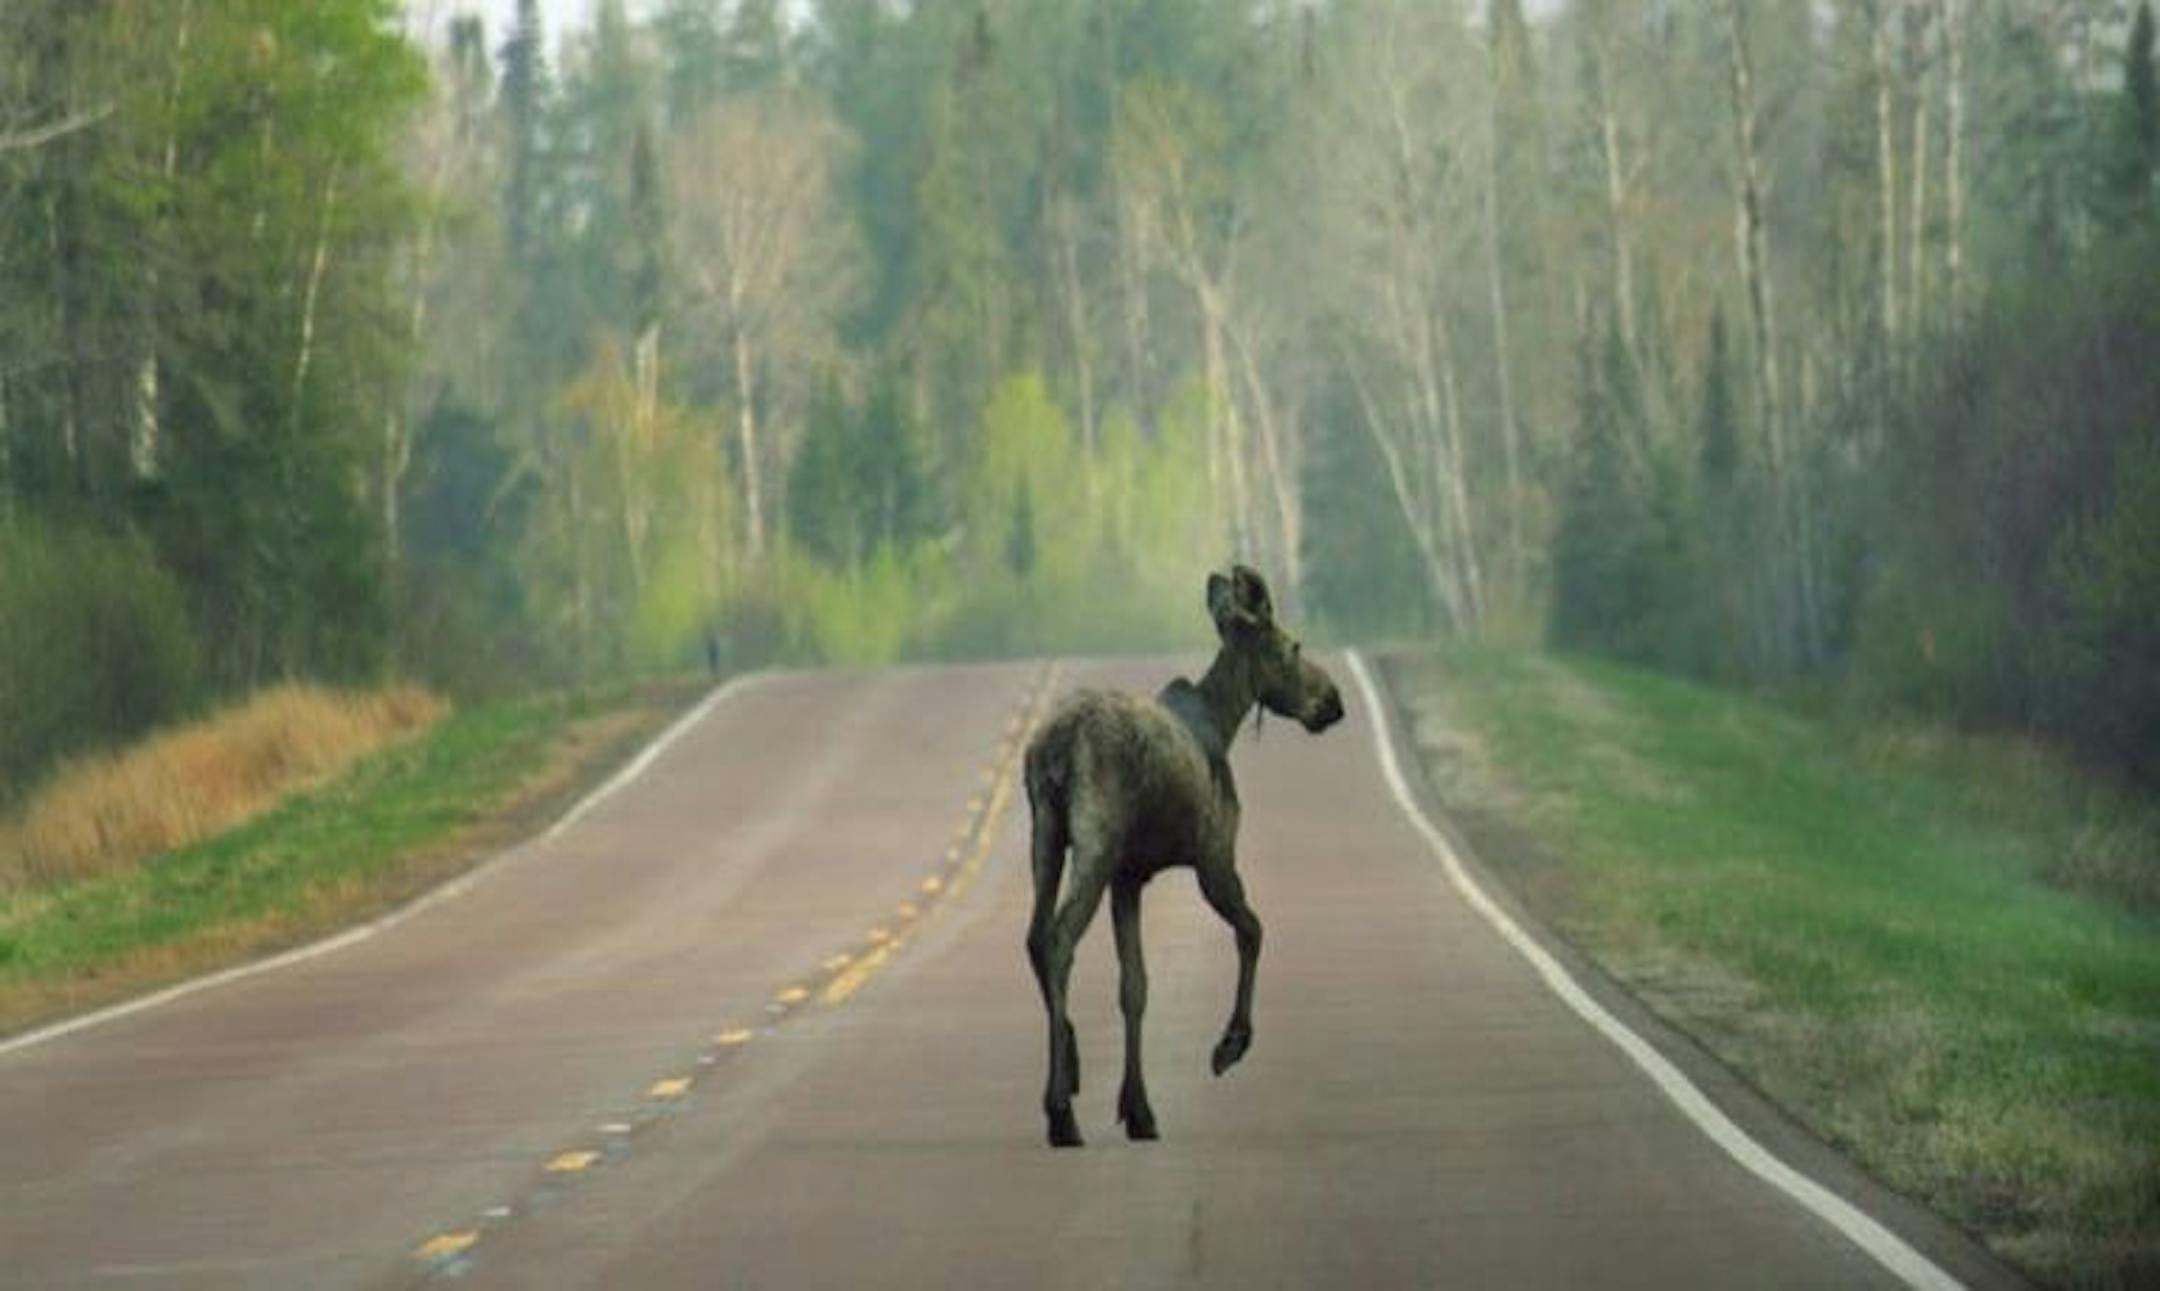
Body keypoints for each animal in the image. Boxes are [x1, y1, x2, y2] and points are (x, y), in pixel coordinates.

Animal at [1021, 565, 1345, 1148]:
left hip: (1046, 834)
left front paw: (1138, 1109)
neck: (1225, 718)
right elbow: (1253, 930)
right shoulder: (1214, 858)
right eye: (1293, 646)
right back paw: (1060, 1111)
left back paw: (1072, 1069)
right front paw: (1230, 1044)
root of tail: (1054, 748)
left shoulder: (1130, 877)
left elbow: (1135, 986)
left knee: (1035, 937)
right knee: (1058, 939)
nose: (1334, 701)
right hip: (1095, 842)